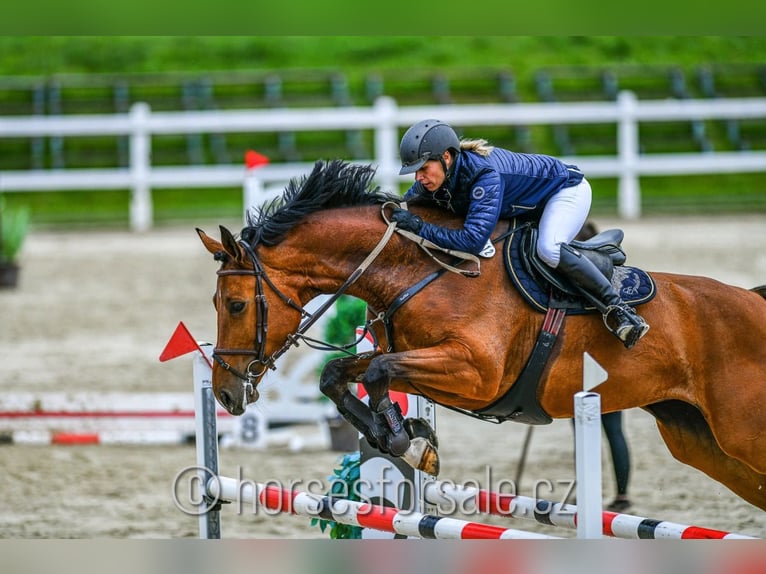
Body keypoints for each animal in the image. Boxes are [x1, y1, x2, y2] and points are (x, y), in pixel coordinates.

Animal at [198, 159, 766, 512]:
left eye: (236, 304)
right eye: (218, 303)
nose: (225, 393)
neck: (418, 270)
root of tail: (754, 300)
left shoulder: (476, 372)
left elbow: (378, 370)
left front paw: (405, 440)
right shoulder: (421, 358)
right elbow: (339, 373)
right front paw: (406, 438)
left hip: (741, 432)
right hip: (702, 441)